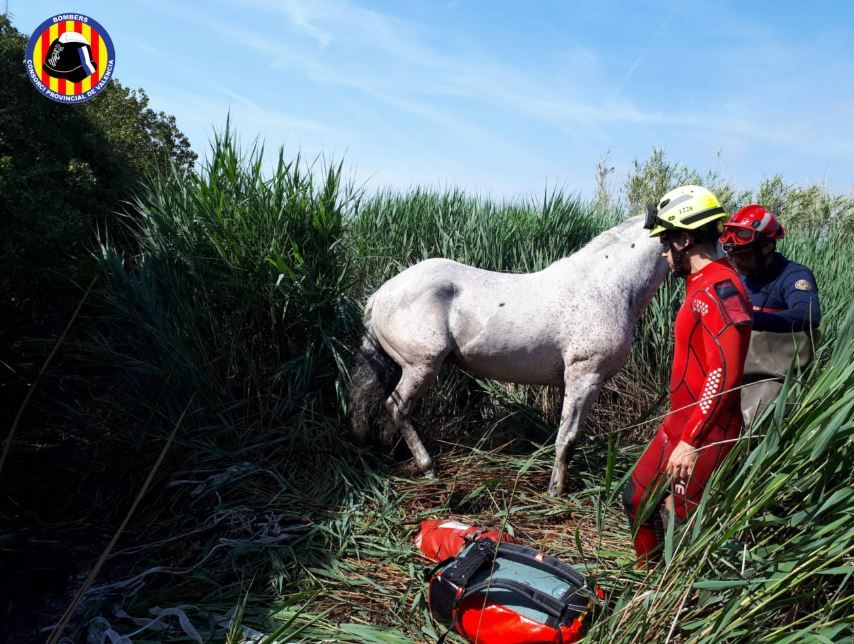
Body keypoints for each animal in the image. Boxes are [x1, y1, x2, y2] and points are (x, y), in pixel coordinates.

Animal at [350, 216, 668, 498]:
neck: (606, 286)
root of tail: (381, 293)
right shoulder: (585, 376)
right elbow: (567, 439)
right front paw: (555, 492)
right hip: (421, 366)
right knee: (397, 407)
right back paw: (428, 467)